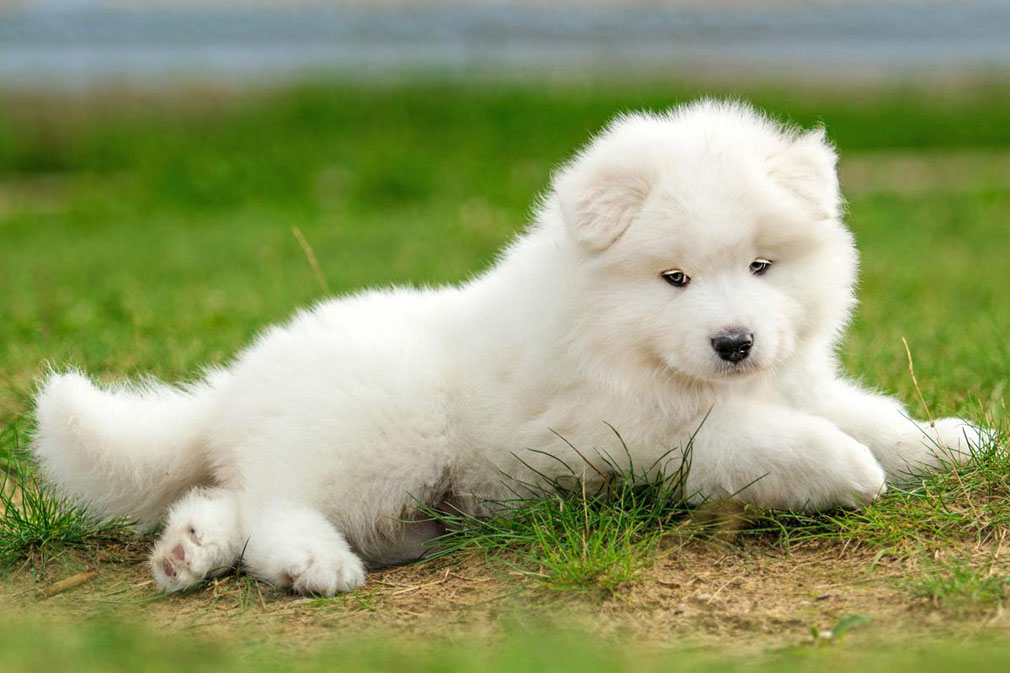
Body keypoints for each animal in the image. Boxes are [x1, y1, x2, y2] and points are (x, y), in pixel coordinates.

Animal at [33, 99, 985, 594]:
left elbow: (870, 412)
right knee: (275, 505)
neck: (617, 333)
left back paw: (187, 552)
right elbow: (758, 441)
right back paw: (311, 562)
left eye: (761, 264)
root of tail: (234, 384)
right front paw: (848, 467)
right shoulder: (642, 432)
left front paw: (950, 441)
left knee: (226, 493)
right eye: (674, 277)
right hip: (380, 432)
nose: (735, 341)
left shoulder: (791, 382)